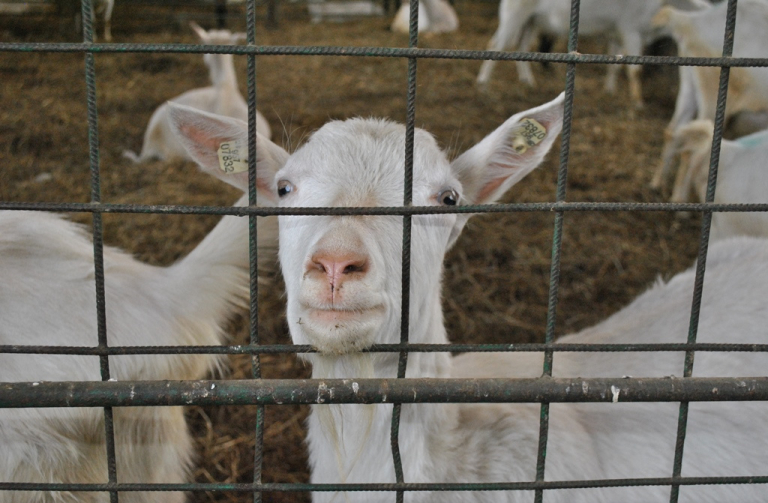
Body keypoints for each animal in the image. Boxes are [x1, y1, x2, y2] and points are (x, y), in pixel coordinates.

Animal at [652, 0, 768, 191]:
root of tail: (692, 21)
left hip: (690, 83)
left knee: (673, 130)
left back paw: (656, 184)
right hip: (712, 91)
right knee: (694, 150)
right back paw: (679, 199)